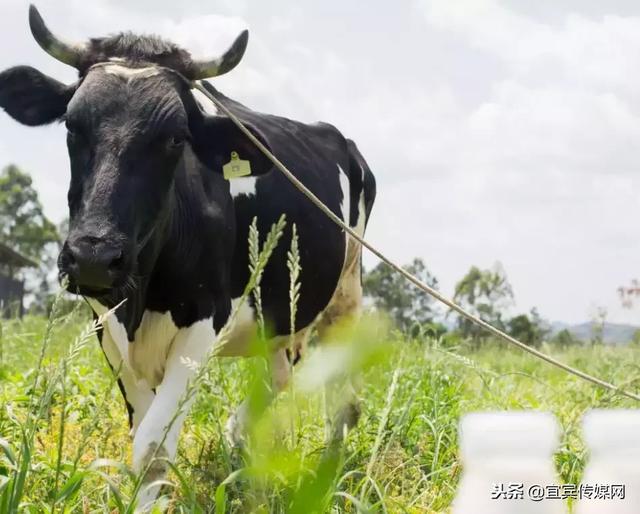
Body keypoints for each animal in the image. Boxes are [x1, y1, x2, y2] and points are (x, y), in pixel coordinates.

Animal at [0, 5, 376, 504]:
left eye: (177, 138)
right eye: (71, 126)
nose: (94, 257)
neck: (144, 294)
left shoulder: (203, 322)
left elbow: (153, 446)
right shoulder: (107, 326)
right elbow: (141, 430)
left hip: (345, 295)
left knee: (342, 398)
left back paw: (327, 473)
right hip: (279, 314)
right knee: (280, 372)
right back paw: (239, 438)